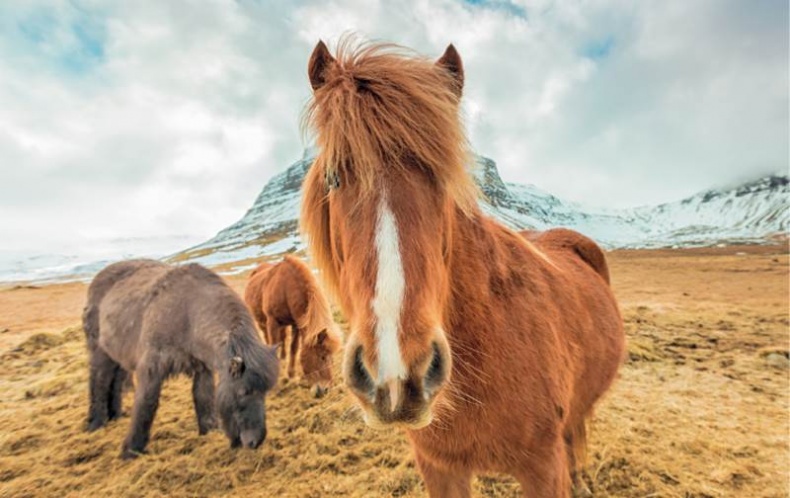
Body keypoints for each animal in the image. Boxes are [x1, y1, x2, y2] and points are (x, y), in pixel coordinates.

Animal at [83, 259, 279, 459]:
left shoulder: (202, 369)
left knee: (114, 383)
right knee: (99, 381)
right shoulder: (151, 369)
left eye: (265, 392)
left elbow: (203, 398)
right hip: (100, 353)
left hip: (118, 357)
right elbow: (146, 405)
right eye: (243, 392)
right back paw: (95, 423)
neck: (188, 313)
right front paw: (131, 450)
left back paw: (115, 415)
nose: (255, 442)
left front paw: (208, 432)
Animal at [244, 255, 342, 398]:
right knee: (268, 338)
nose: (324, 390)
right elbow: (274, 346)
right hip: (263, 323)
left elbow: (294, 348)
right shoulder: (272, 322)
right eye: (322, 357)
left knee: (283, 340)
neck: (285, 289)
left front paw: (291, 376)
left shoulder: (296, 324)